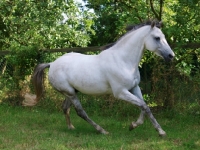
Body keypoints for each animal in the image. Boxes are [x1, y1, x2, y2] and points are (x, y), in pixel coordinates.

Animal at [32, 20, 174, 137]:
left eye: (164, 37)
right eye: (157, 38)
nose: (171, 56)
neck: (123, 61)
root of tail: (52, 64)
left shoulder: (135, 88)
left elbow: (144, 106)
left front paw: (133, 125)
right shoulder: (120, 92)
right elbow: (144, 106)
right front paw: (161, 132)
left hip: (71, 92)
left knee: (65, 108)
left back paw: (71, 127)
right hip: (70, 93)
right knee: (80, 112)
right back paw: (102, 131)